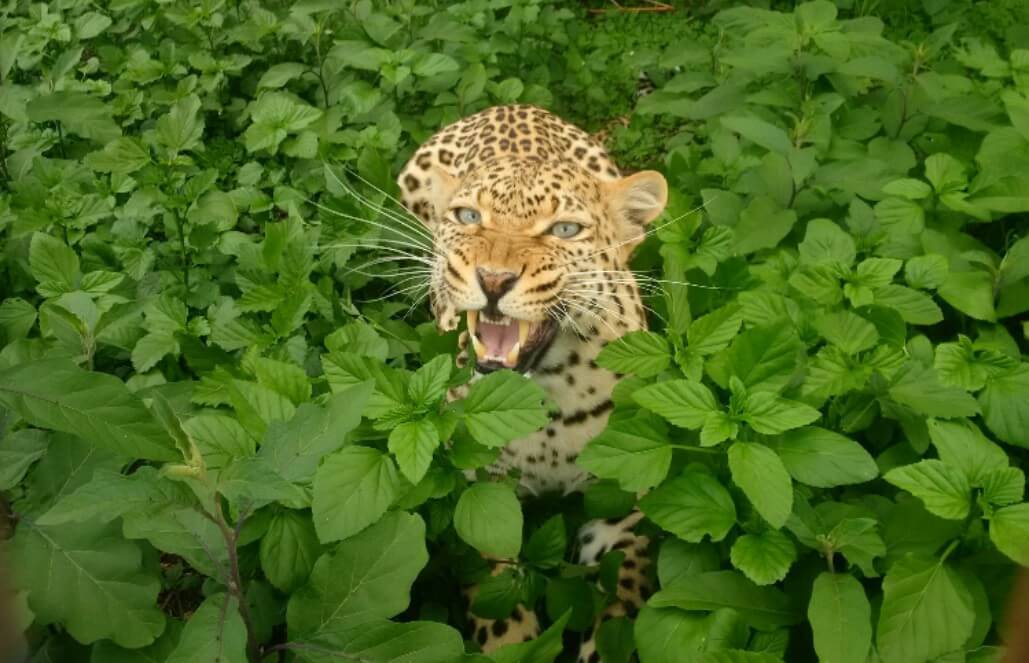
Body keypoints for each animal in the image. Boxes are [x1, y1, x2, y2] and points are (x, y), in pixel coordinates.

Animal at [393, 103, 666, 658]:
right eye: (468, 217)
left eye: (564, 229)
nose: (493, 280)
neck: (544, 401)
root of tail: (513, 106)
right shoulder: (484, 497)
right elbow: (498, 610)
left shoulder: (625, 500)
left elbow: (619, 608)